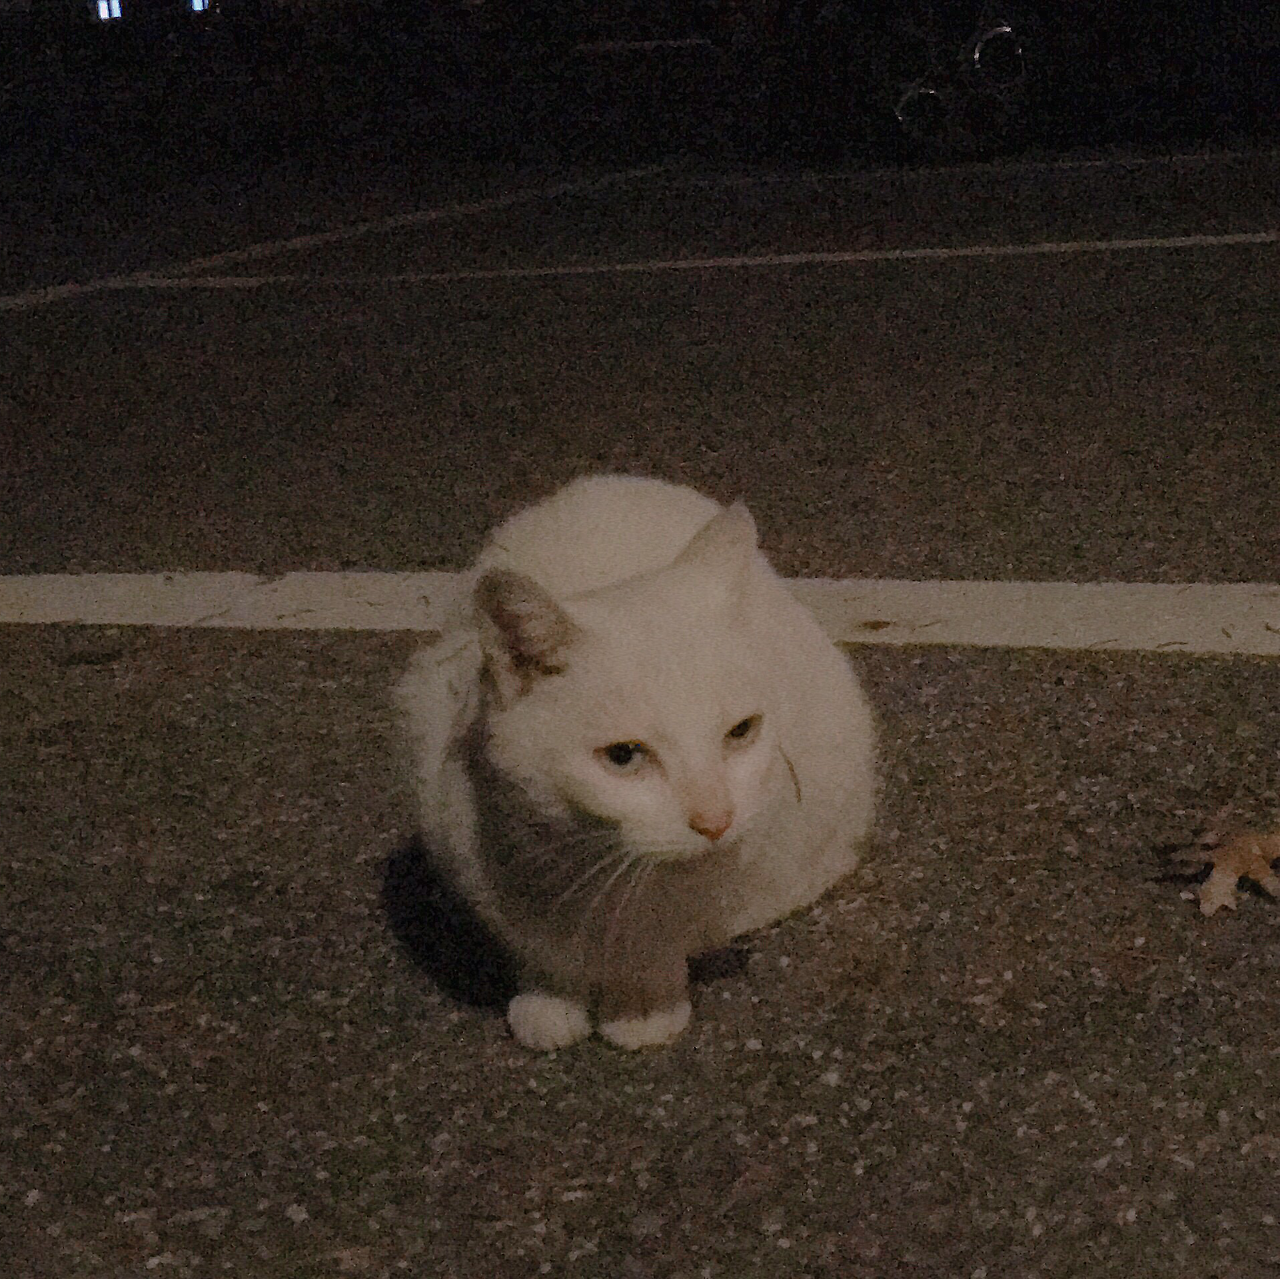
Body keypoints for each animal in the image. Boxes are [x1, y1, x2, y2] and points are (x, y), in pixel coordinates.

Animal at [395, 475, 877, 1051]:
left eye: (740, 732)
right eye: (623, 757)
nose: (716, 821)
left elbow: (658, 949)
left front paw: (643, 1008)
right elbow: (541, 949)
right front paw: (550, 1002)